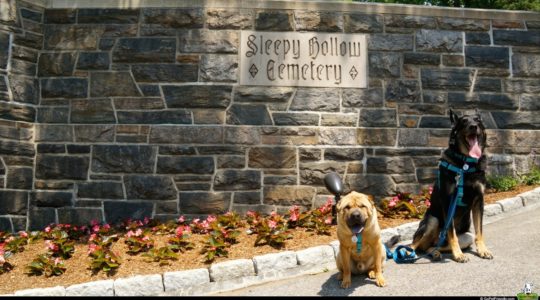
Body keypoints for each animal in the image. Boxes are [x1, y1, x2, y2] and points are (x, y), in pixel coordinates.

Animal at [412, 110, 492, 262]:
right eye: (464, 121)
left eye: (478, 120)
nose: (473, 126)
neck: (466, 164)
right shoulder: (448, 201)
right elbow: (451, 232)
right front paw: (458, 254)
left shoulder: (479, 200)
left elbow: (479, 231)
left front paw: (483, 250)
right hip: (432, 220)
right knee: (414, 245)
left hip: (466, 236)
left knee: (433, 246)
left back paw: (435, 253)